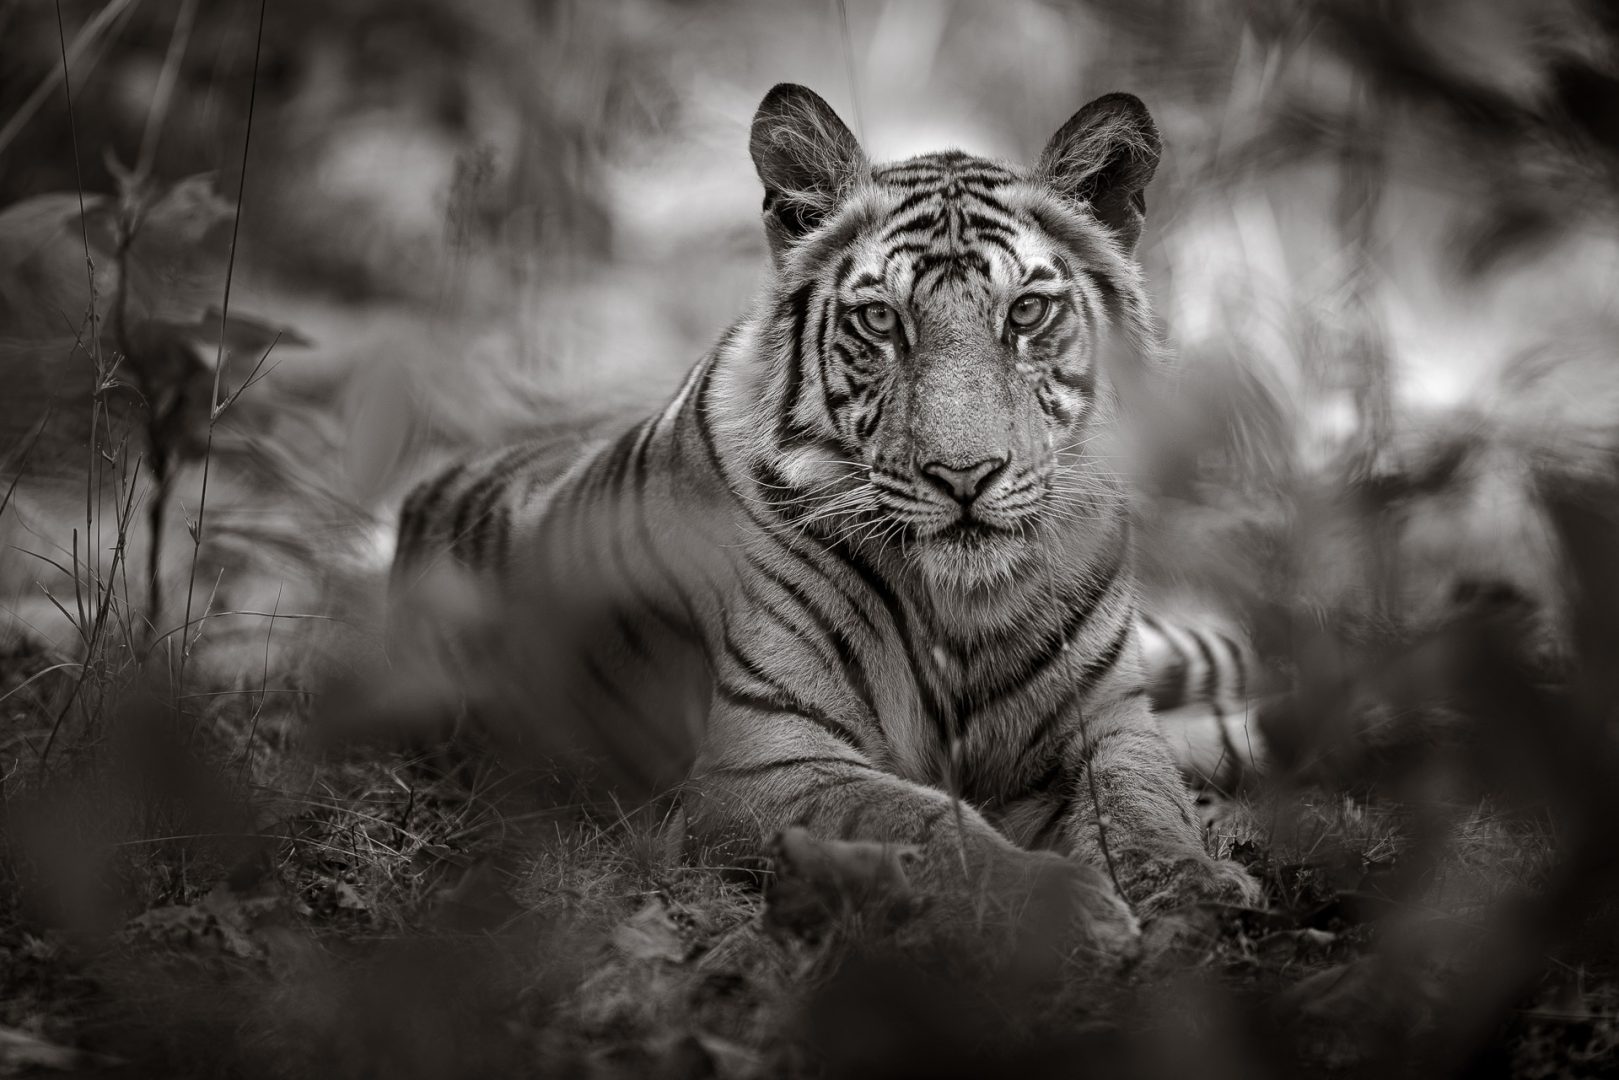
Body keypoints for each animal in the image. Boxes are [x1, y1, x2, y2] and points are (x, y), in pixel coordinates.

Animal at [391, 84, 1263, 957]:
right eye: (880, 322)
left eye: (1025, 313)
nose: (964, 476)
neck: (965, 610)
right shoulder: (770, 761)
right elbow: (928, 824)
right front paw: (1067, 907)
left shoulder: (1108, 721)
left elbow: (1140, 803)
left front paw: (1190, 886)